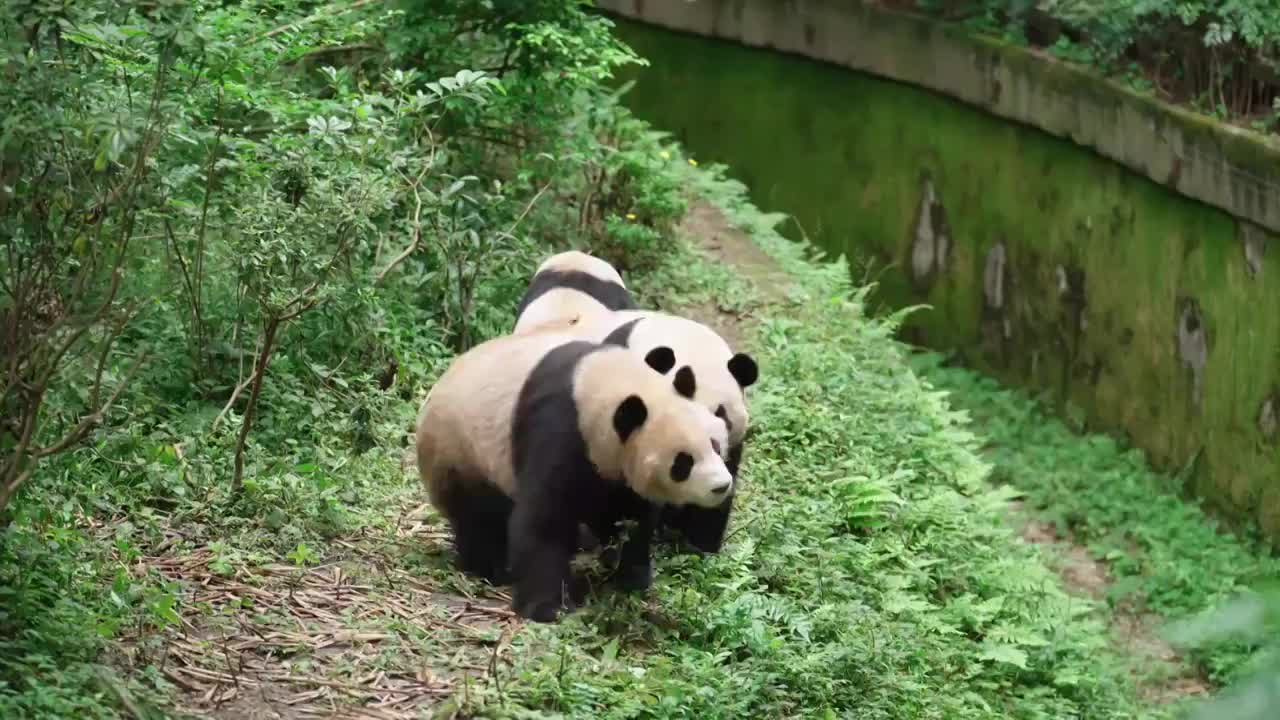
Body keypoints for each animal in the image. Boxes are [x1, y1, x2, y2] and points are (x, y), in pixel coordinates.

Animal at [412, 327, 732, 620]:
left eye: (715, 445)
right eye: (683, 462)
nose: (721, 485)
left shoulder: (612, 468)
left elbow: (631, 515)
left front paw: (631, 578)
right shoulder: (559, 426)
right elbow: (543, 518)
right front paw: (547, 606)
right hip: (461, 452)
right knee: (479, 515)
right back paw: (491, 567)